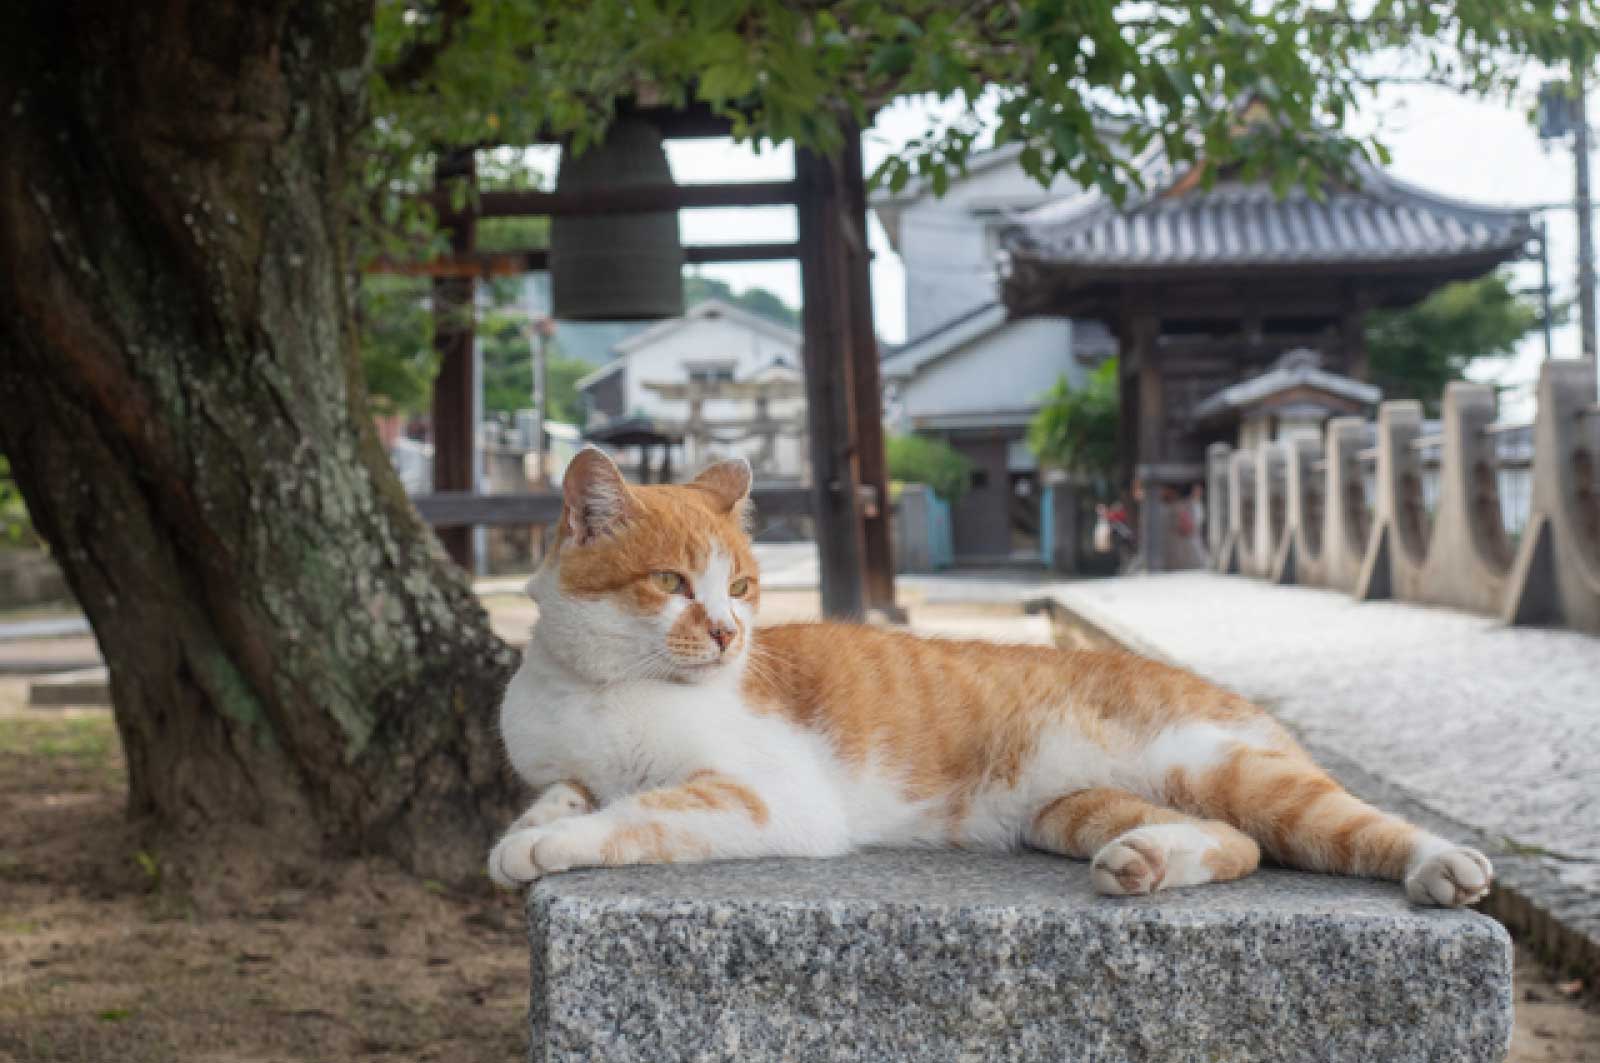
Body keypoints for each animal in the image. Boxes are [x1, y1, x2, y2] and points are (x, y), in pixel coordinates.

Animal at [486, 445, 1484, 902]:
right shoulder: (570, 763)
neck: (597, 688)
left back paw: (1446, 865)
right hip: (1069, 810)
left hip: (1223, 764)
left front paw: (548, 846)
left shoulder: (767, 798)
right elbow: (566, 792)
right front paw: (527, 828)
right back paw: (1145, 861)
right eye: (670, 583)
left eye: (741, 586)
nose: (730, 632)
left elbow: (640, 814)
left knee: (1350, 825)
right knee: (1234, 844)